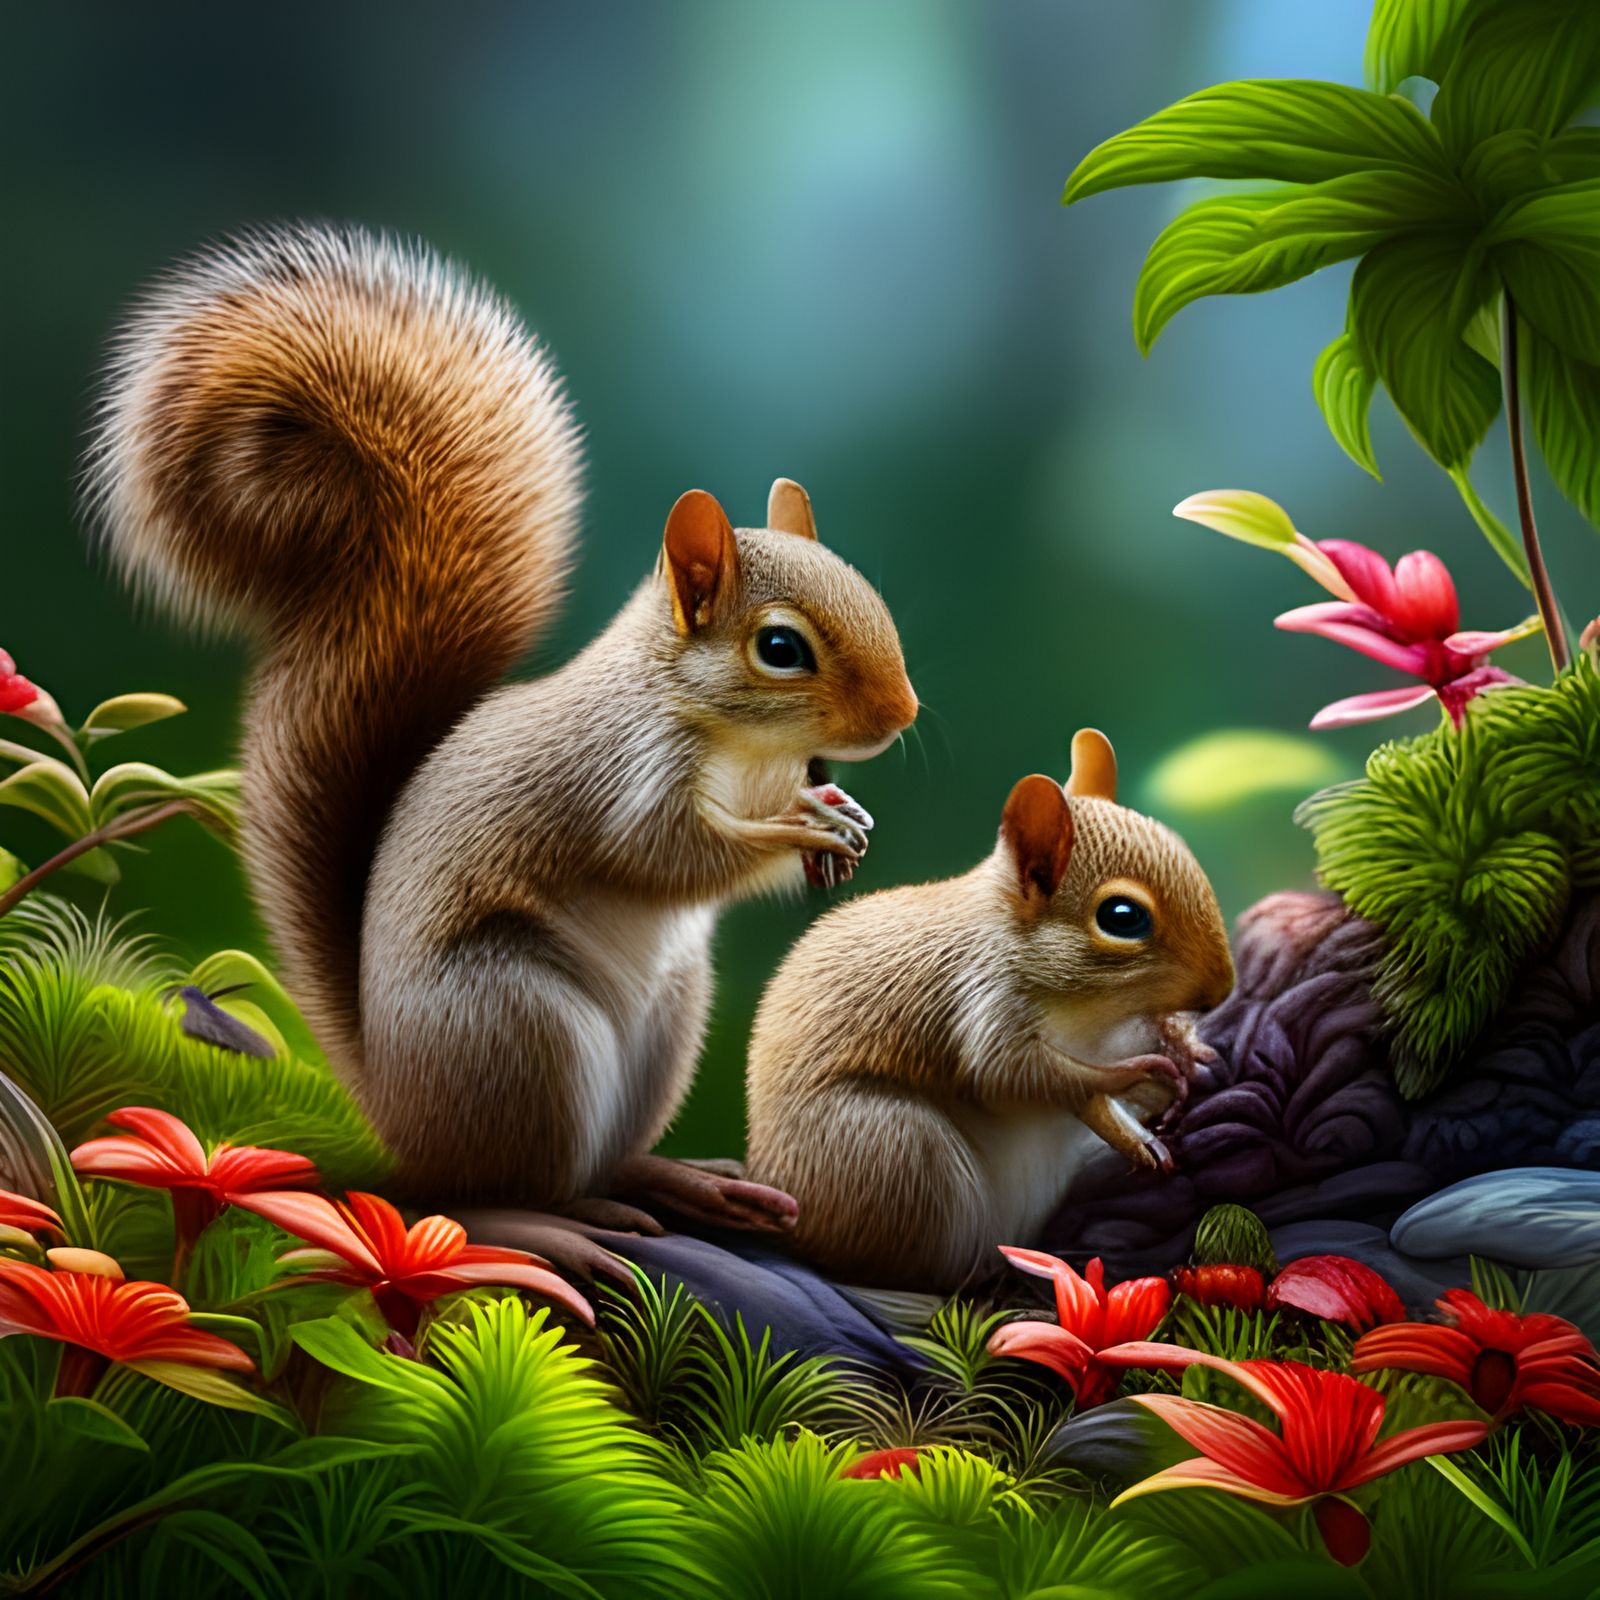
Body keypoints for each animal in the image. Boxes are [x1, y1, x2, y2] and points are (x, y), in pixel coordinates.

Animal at [84, 223, 918, 1276]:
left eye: (870, 594)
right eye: (780, 648)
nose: (901, 712)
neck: (751, 749)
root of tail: (399, 1112)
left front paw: (845, 816)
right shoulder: (619, 774)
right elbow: (671, 855)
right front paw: (799, 835)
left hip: (665, 1023)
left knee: (598, 1162)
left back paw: (680, 1181)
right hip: (518, 1029)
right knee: (486, 1195)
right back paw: (557, 1228)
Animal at [744, 730, 1234, 1293]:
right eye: (1122, 916)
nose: (1222, 989)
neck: (1097, 1013)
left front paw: (1186, 1047)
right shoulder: (980, 998)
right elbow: (1011, 1075)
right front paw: (1134, 1078)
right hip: (895, 1148)